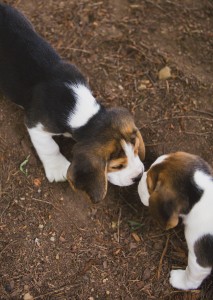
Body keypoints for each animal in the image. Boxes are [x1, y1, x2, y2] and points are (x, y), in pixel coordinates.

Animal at [0, 3, 145, 203]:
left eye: (137, 149)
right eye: (117, 166)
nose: (138, 176)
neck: (83, 113)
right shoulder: (35, 124)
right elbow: (50, 147)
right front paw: (58, 168)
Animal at [138, 154, 213, 290]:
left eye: (149, 185)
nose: (140, 175)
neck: (200, 199)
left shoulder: (199, 261)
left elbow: (191, 275)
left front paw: (179, 281)